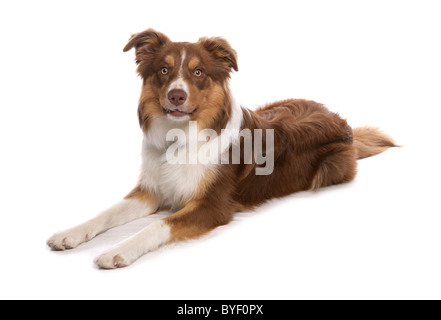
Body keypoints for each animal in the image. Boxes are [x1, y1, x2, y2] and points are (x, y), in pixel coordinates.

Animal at [47, 28, 396, 268]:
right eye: (164, 70)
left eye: (198, 72)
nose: (176, 95)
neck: (181, 138)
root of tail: (342, 121)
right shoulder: (152, 190)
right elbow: (105, 214)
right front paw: (70, 233)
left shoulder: (213, 205)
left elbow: (159, 225)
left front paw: (118, 250)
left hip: (330, 166)